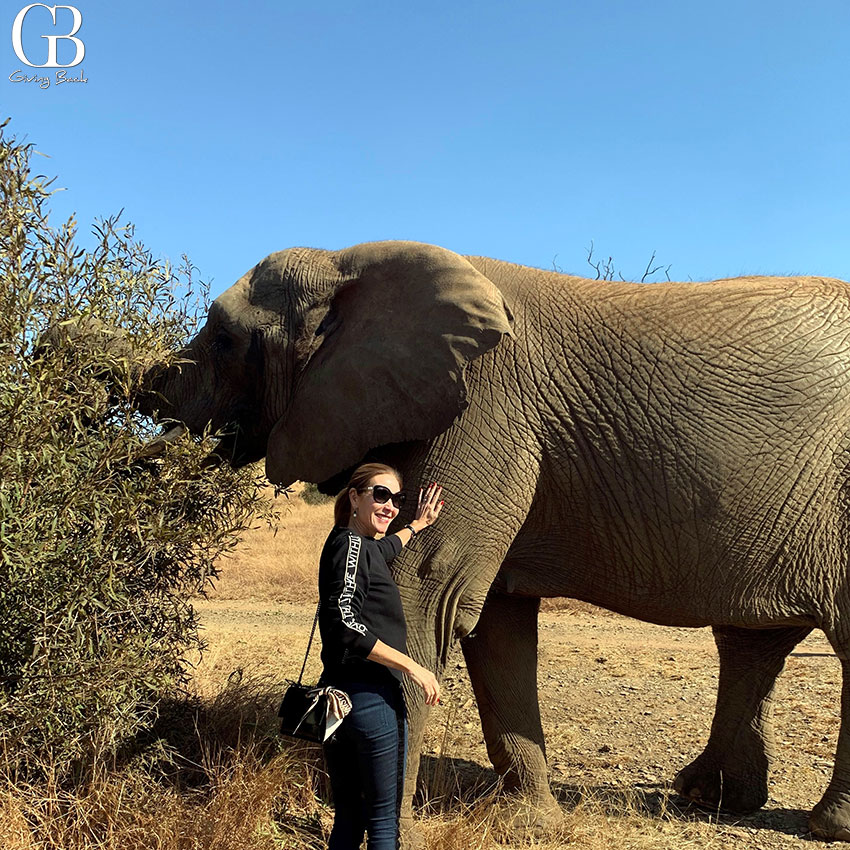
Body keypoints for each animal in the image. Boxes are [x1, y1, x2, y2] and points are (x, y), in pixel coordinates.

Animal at [140, 239, 850, 841]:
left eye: (225, 339)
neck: (351, 263)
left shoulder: (484, 405)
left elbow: (423, 590)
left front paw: (388, 825)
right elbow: (495, 624)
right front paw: (529, 823)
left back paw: (824, 826)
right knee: (751, 642)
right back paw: (713, 800)